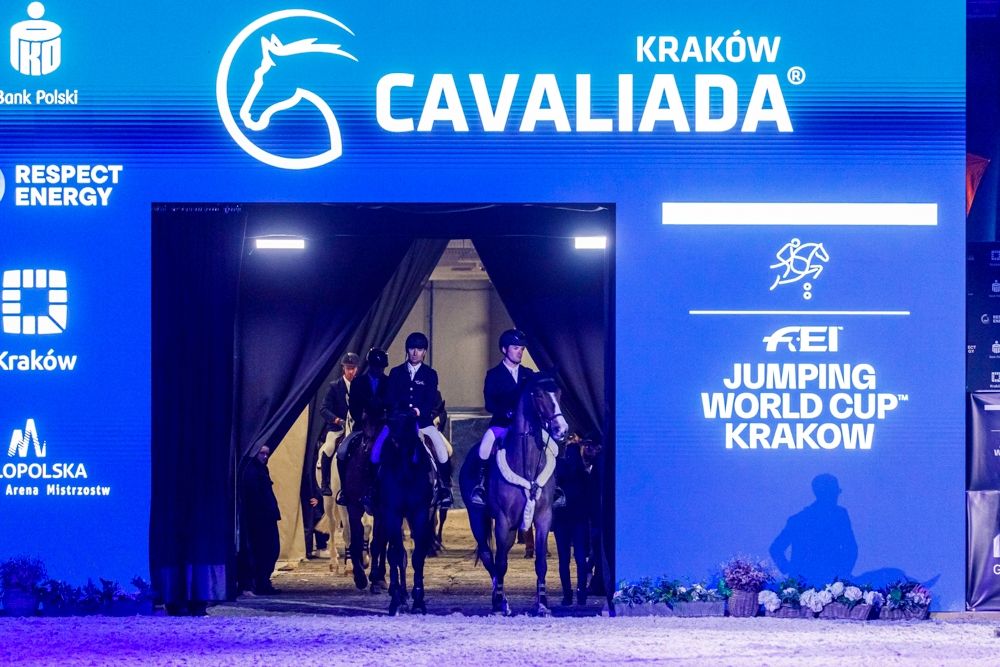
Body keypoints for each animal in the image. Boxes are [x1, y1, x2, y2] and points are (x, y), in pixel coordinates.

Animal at [376, 411, 437, 615]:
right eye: (392, 442)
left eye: (413, 446)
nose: (404, 476)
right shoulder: (391, 514)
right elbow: (397, 555)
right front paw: (396, 600)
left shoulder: (421, 513)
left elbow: (417, 556)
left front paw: (418, 600)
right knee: (394, 554)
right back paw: (400, 595)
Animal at [460, 374, 569, 616]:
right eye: (538, 395)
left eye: (558, 393)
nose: (562, 429)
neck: (526, 464)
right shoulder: (502, 519)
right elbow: (501, 563)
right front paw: (501, 604)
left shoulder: (544, 517)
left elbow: (541, 562)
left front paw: (542, 604)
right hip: (478, 518)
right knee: (488, 556)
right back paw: (499, 599)